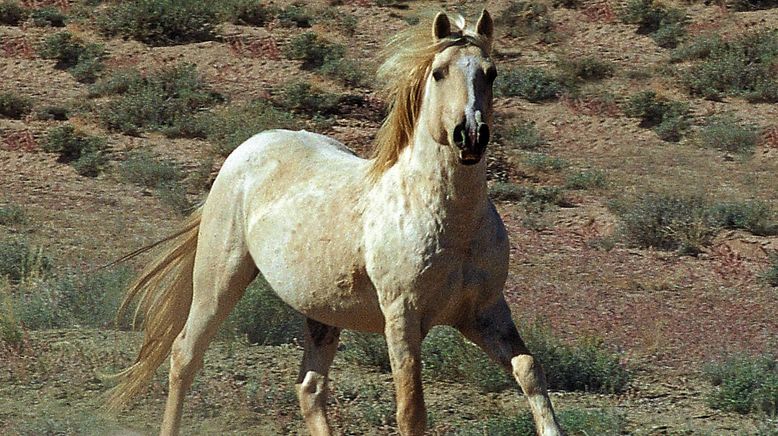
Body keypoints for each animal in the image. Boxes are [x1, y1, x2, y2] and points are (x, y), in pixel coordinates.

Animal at [106, 10, 560, 436]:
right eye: (439, 71)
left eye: (491, 73)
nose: (471, 136)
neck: (451, 222)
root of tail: (248, 147)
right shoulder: (403, 316)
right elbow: (411, 411)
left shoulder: (484, 312)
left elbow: (529, 371)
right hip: (219, 281)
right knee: (185, 355)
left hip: (321, 313)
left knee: (309, 388)